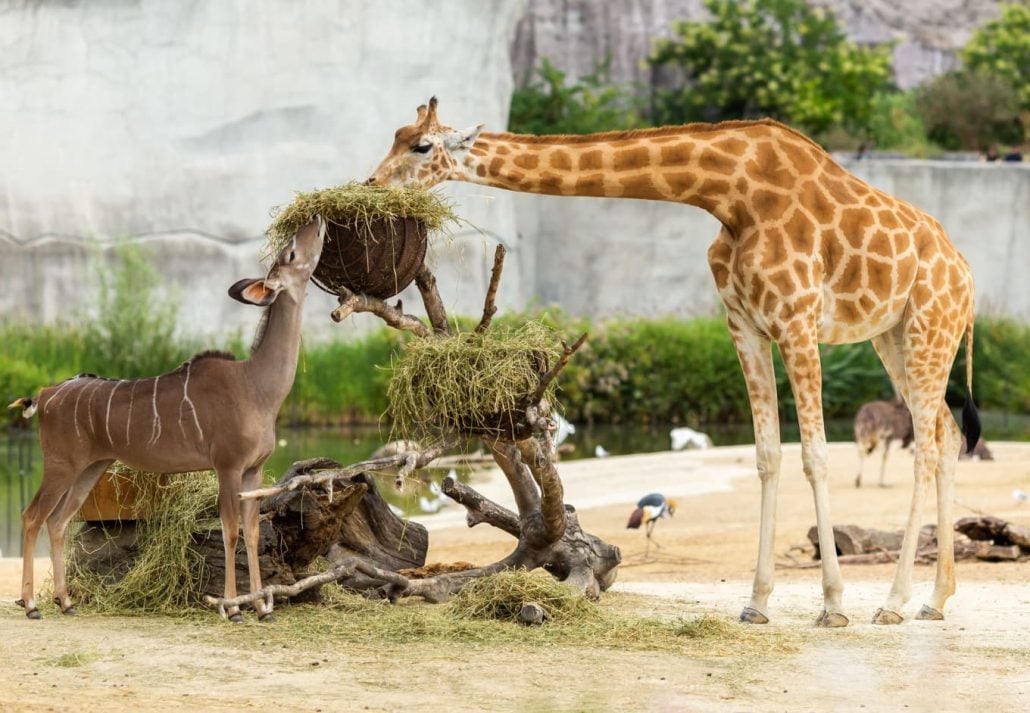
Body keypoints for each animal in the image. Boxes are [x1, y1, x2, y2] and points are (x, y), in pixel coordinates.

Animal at [13, 214, 325, 622]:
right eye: (290, 252)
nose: (317, 220)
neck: (257, 386)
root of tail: (45, 395)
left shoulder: (253, 470)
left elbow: (254, 532)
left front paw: (261, 607)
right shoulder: (227, 465)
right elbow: (231, 530)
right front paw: (232, 608)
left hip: (90, 468)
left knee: (58, 520)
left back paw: (65, 602)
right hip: (60, 465)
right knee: (32, 515)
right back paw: (32, 604)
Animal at [366, 98, 976, 622]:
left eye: (421, 145)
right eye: (394, 135)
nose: (371, 184)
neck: (730, 194)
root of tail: (966, 274)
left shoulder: (797, 322)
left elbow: (816, 455)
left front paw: (833, 604)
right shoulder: (745, 324)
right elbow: (767, 456)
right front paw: (757, 603)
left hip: (929, 327)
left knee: (925, 444)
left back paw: (894, 602)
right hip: (893, 337)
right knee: (946, 432)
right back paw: (936, 598)